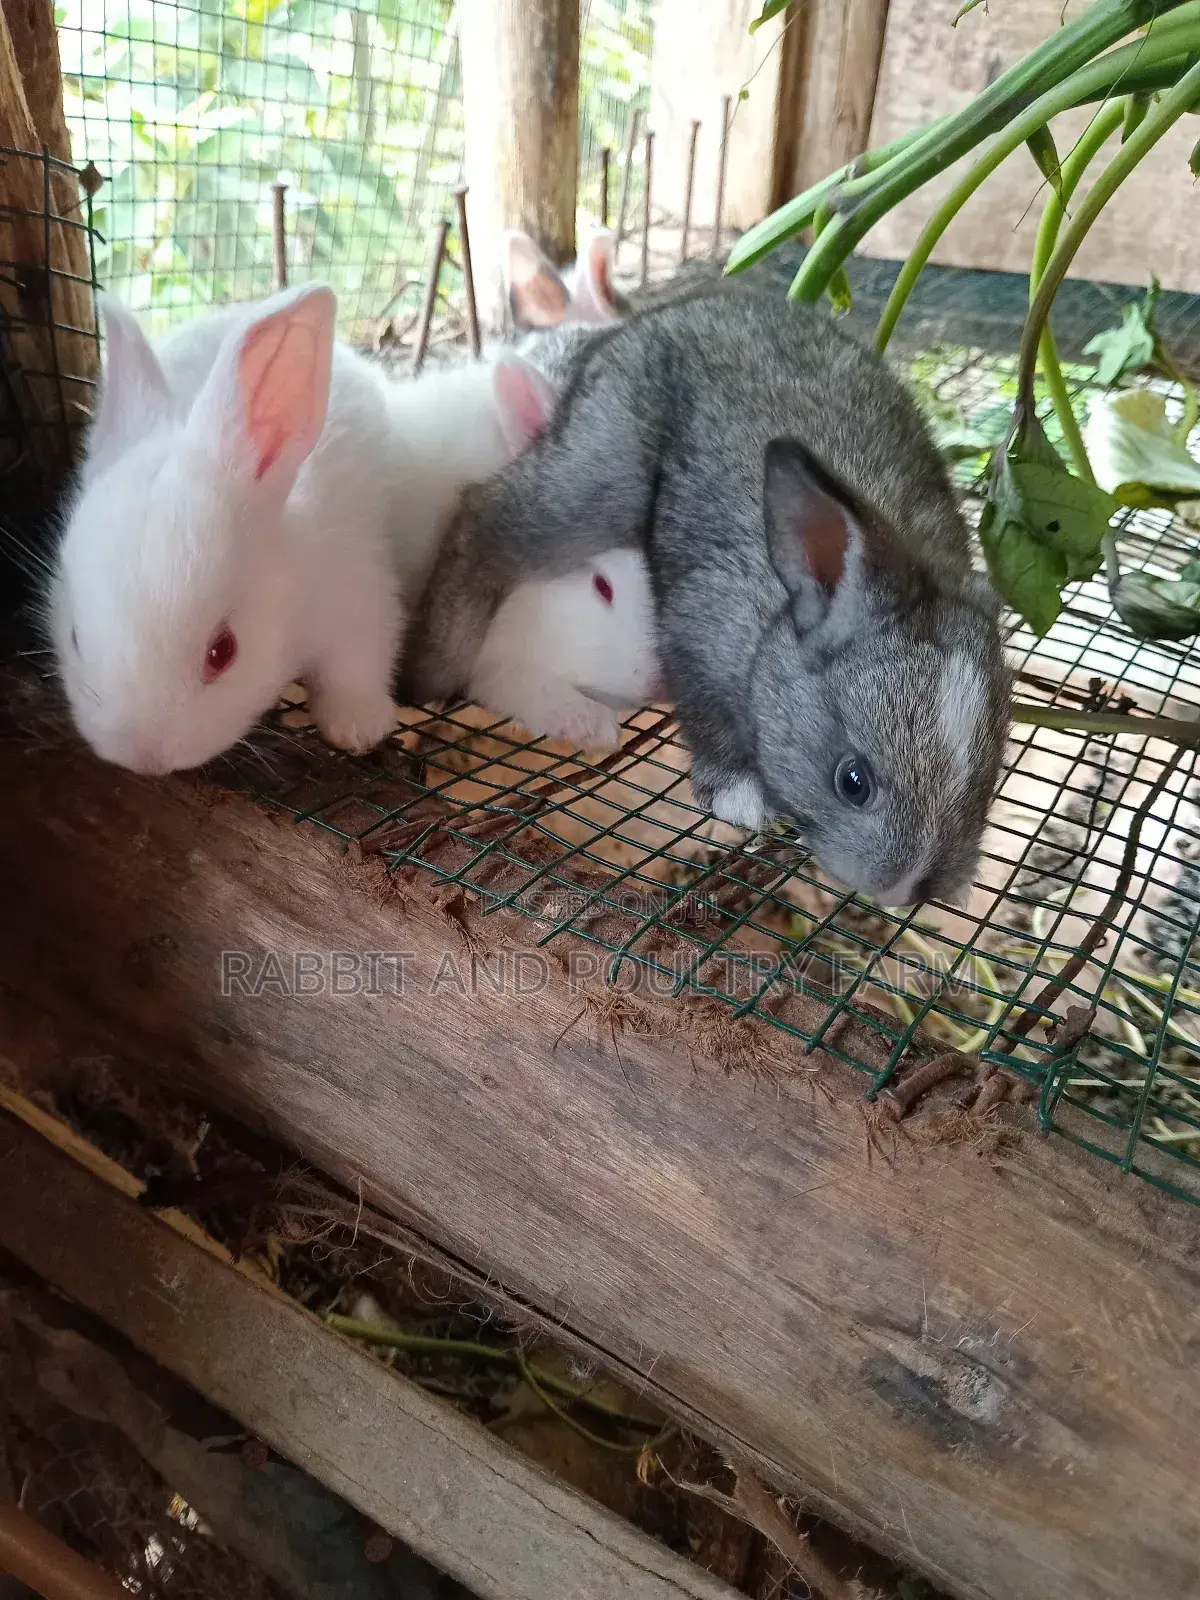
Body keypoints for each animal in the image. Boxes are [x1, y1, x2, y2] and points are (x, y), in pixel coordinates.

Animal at [400, 288, 1013, 908]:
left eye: (987, 783)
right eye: (853, 781)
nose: (901, 892)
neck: (776, 625)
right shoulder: (697, 635)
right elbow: (706, 717)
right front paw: (739, 799)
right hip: (598, 473)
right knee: (483, 517)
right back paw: (430, 667)